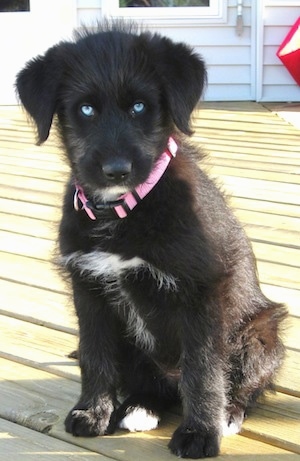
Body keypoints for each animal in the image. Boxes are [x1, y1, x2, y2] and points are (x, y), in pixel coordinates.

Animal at [15, 23, 286, 458]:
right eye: (85, 109)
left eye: (140, 106)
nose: (116, 170)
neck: (123, 212)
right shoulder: (88, 288)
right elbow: (94, 354)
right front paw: (92, 412)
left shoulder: (203, 293)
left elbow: (202, 369)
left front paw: (200, 432)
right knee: (150, 383)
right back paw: (139, 406)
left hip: (260, 335)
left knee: (241, 384)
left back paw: (228, 413)